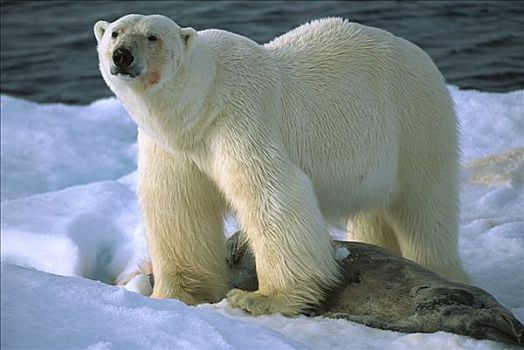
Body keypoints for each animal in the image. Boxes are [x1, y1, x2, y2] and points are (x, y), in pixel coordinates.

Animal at [93, 15, 466, 316]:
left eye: (153, 36)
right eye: (114, 32)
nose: (122, 55)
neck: (199, 107)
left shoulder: (239, 118)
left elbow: (274, 195)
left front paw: (260, 298)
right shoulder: (172, 148)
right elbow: (178, 208)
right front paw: (173, 294)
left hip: (415, 123)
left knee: (425, 209)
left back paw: (442, 271)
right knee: (375, 212)